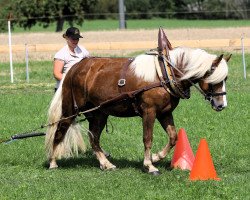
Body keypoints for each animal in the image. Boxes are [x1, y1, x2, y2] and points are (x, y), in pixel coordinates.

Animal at [45, 46, 230, 174]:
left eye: (225, 78)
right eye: (213, 78)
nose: (221, 105)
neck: (164, 74)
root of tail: (74, 68)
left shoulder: (165, 113)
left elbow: (173, 137)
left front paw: (156, 157)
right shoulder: (149, 112)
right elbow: (147, 138)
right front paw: (150, 165)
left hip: (99, 114)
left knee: (94, 138)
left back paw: (106, 164)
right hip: (71, 110)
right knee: (59, 130)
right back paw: (53, 162)